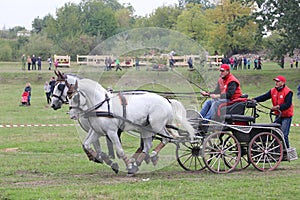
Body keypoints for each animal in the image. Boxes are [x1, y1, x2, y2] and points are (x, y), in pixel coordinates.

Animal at [67, 78, 195, 175]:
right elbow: (86, 145)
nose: (71, 115)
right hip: (146, 128)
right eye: (68, 97)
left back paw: (151, 156)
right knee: (148, 145)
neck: (102, 106)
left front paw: (127, 165)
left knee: (166, 138)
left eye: (75, 97)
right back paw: (138, 163)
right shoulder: (97, 131)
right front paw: (100, 158)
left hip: (157, 125)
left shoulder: (112, 132)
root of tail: (167, 100)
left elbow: (120, 151)